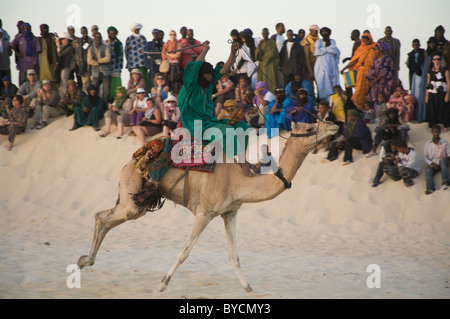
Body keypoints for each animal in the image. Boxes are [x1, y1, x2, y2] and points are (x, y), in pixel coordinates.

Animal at [78, 121, 338, 294]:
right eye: (309, 125)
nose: (334, 125)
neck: (240, 179)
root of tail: (128, 163)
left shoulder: (230, 213)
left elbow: (234, 257)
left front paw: (249, 289)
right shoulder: (204, 212)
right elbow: (184, 252)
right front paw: (161, 285)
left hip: (136, 201)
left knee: (103, 217)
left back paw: (84, 261)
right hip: (132, 197)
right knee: (103, 217)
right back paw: (84, 261)